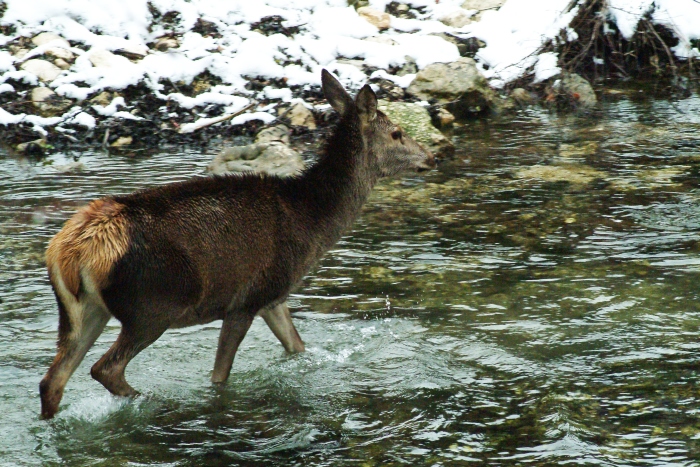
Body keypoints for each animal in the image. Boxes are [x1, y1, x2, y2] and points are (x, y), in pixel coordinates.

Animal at [38, 70, 434, 420]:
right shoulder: (244, 299)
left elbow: (297, 348)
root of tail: (69, 250)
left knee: (52, 381)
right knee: (103, 369)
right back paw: (155, 403)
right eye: (397, 132)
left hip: (83, 311)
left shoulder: (273, 295)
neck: (311, 222)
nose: (429, 157)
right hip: (153, 304)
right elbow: (219, 378)